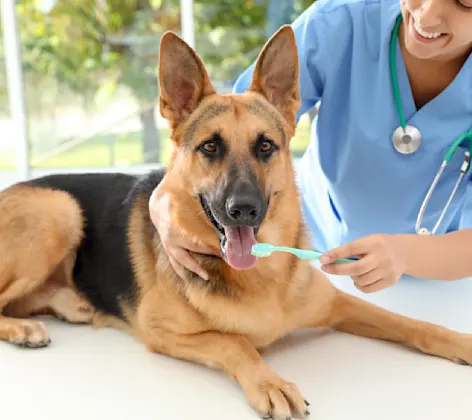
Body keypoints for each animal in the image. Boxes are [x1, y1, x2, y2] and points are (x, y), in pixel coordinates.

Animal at [0, 27, 472, 420]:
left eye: (265, 146)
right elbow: (236, 341)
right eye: (210, 147)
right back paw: (24, 328)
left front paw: (458, 341)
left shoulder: (339, 304)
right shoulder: (160, 331)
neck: (261, 276)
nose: (243, 209)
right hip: (60, 210)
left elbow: (411, 323)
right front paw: (270, 382)